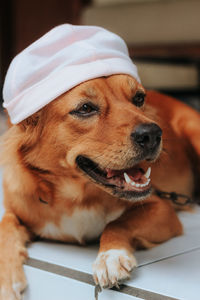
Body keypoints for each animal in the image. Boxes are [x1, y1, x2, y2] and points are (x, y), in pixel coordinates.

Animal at [0, 74, 200, 298]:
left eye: (139, 98)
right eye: (85, 108)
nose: (154, 134)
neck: (75, 196)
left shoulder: (161, 208)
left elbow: (118, 223)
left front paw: (110, 256)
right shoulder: (17, 208)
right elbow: (5, 227)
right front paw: (6, 280)